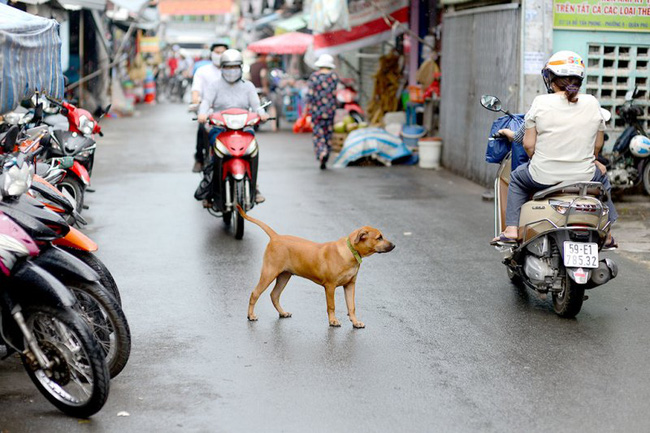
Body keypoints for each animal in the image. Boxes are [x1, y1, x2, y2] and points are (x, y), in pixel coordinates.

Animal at [235, 207, 392, 328]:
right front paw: (333, 321)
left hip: (284, 275)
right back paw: (251, 315)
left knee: (274, 295)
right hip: (269, 272)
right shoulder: (330, 286)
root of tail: (276, 237)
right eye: (379, 237)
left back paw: (282, 312)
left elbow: (351, 306)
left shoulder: (350, 285)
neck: (350, 252)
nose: (394, 245)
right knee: (255, 293)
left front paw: (355, 322)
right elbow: (332, 306)